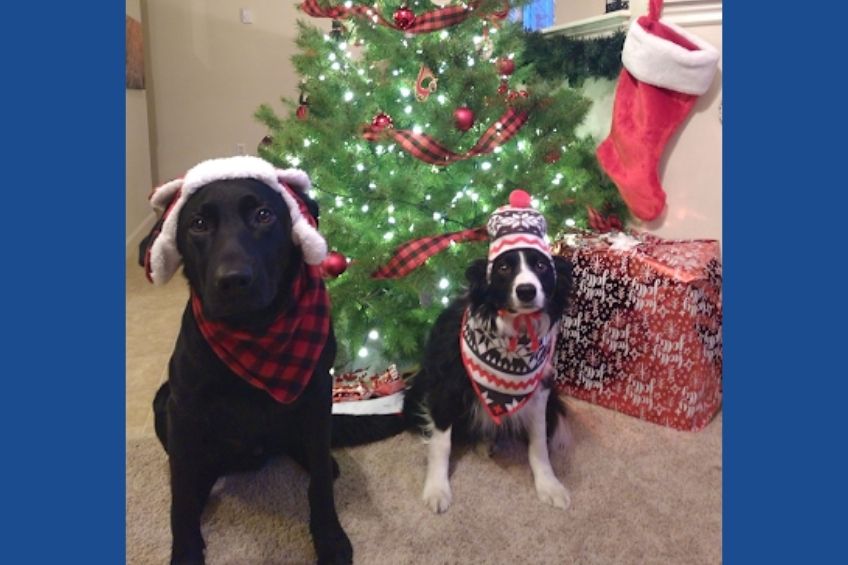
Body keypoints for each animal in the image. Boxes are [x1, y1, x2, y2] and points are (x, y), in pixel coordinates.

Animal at [400, 192, 572, 512]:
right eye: (504, 268)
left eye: (541, 266)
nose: (527, 291)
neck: (514, 334)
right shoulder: (446, 385)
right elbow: (442, 443)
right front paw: (437, 489)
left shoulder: (541, 388)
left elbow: (539, 442)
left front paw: (549, 484)